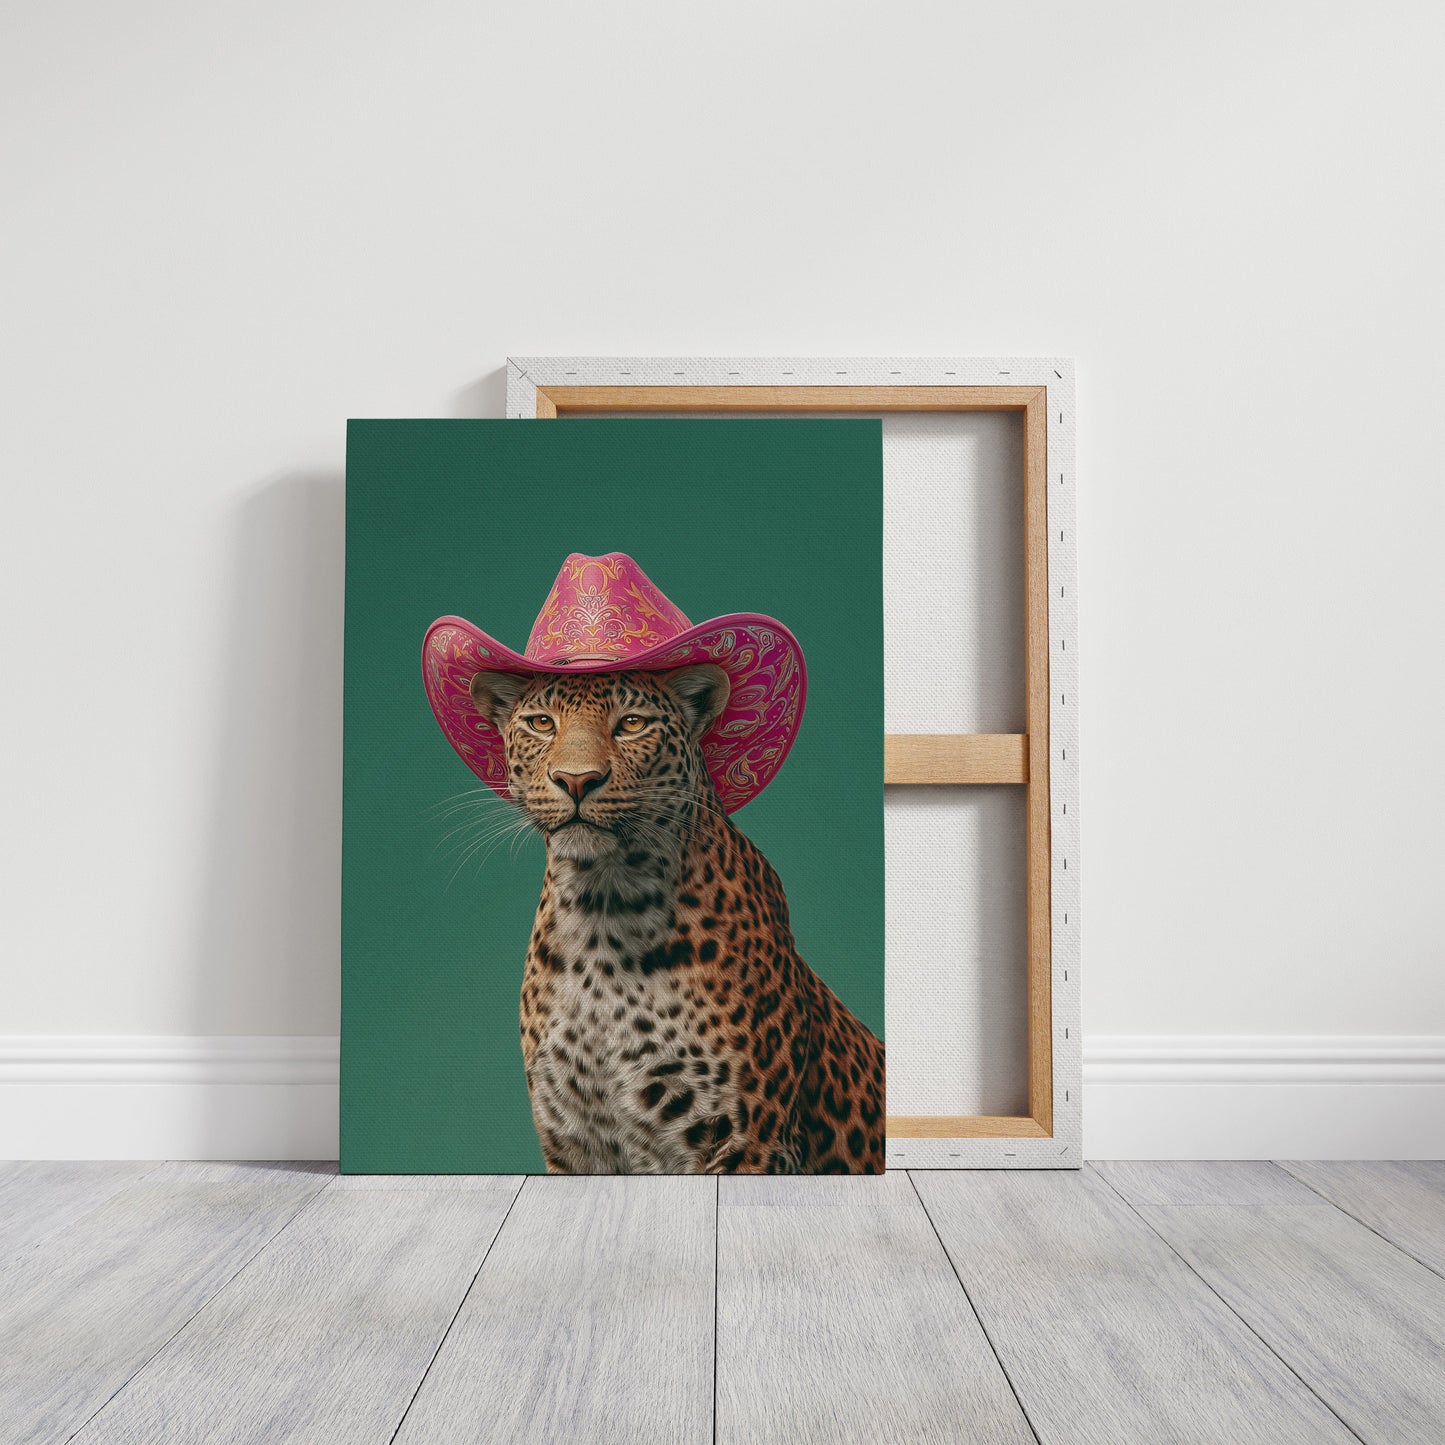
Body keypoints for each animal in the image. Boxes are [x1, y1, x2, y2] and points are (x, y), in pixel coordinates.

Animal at [468, 663, 886, 1175]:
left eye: (632, 723)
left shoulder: (747, 1140)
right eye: (542, 723)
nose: (576, 780)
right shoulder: (573, 1141)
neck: (601, 914)